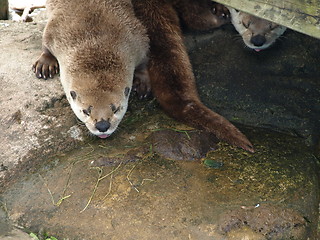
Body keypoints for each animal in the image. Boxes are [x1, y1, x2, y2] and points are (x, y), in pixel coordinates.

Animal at [32, 0, 149, 139]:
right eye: (85, 111)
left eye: (116, 108)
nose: (102, 126)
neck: (94, 40)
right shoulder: (55, 29)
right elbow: (45, 42)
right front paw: (45, 63)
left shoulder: (136, 38)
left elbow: (144, 59)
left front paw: (142, 83)